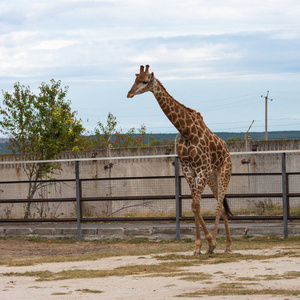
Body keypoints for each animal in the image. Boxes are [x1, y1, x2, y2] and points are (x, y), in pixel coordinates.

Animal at [127, 65, 233, 253]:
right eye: (135, 79)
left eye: (145, 81)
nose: (129, 93)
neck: (186, 131)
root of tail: (227, 152)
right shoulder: (188, 169)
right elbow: (194, 206)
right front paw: (198, 246)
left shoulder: (202, 168)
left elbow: (196, 205)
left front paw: (210, 242)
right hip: (213, 177)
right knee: (221, 205)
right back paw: (226, 245)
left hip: (224, 172)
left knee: (219, 204)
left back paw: (221, 243)